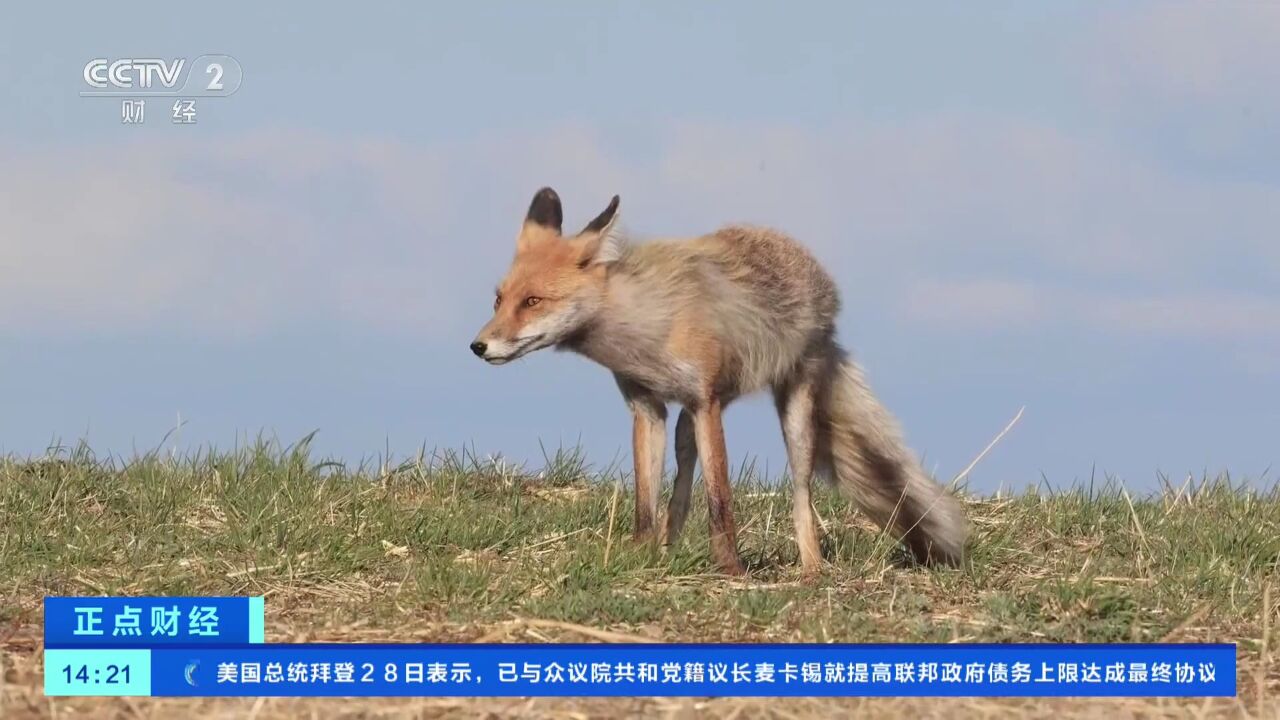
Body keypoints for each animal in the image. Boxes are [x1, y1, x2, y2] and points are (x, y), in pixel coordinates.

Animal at [473, 189, 967, 571]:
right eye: (499, 299)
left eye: (533, 301)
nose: (478, 346)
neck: (644, 329)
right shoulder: (647, 407)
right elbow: (646, 503)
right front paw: (640, 557)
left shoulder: (706, 402)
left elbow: (721, 503)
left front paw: (732, 571)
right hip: (685, 424)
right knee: (680, 491)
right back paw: (669, 546)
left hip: (793, 414)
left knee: (801, 496)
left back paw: (812, 570)